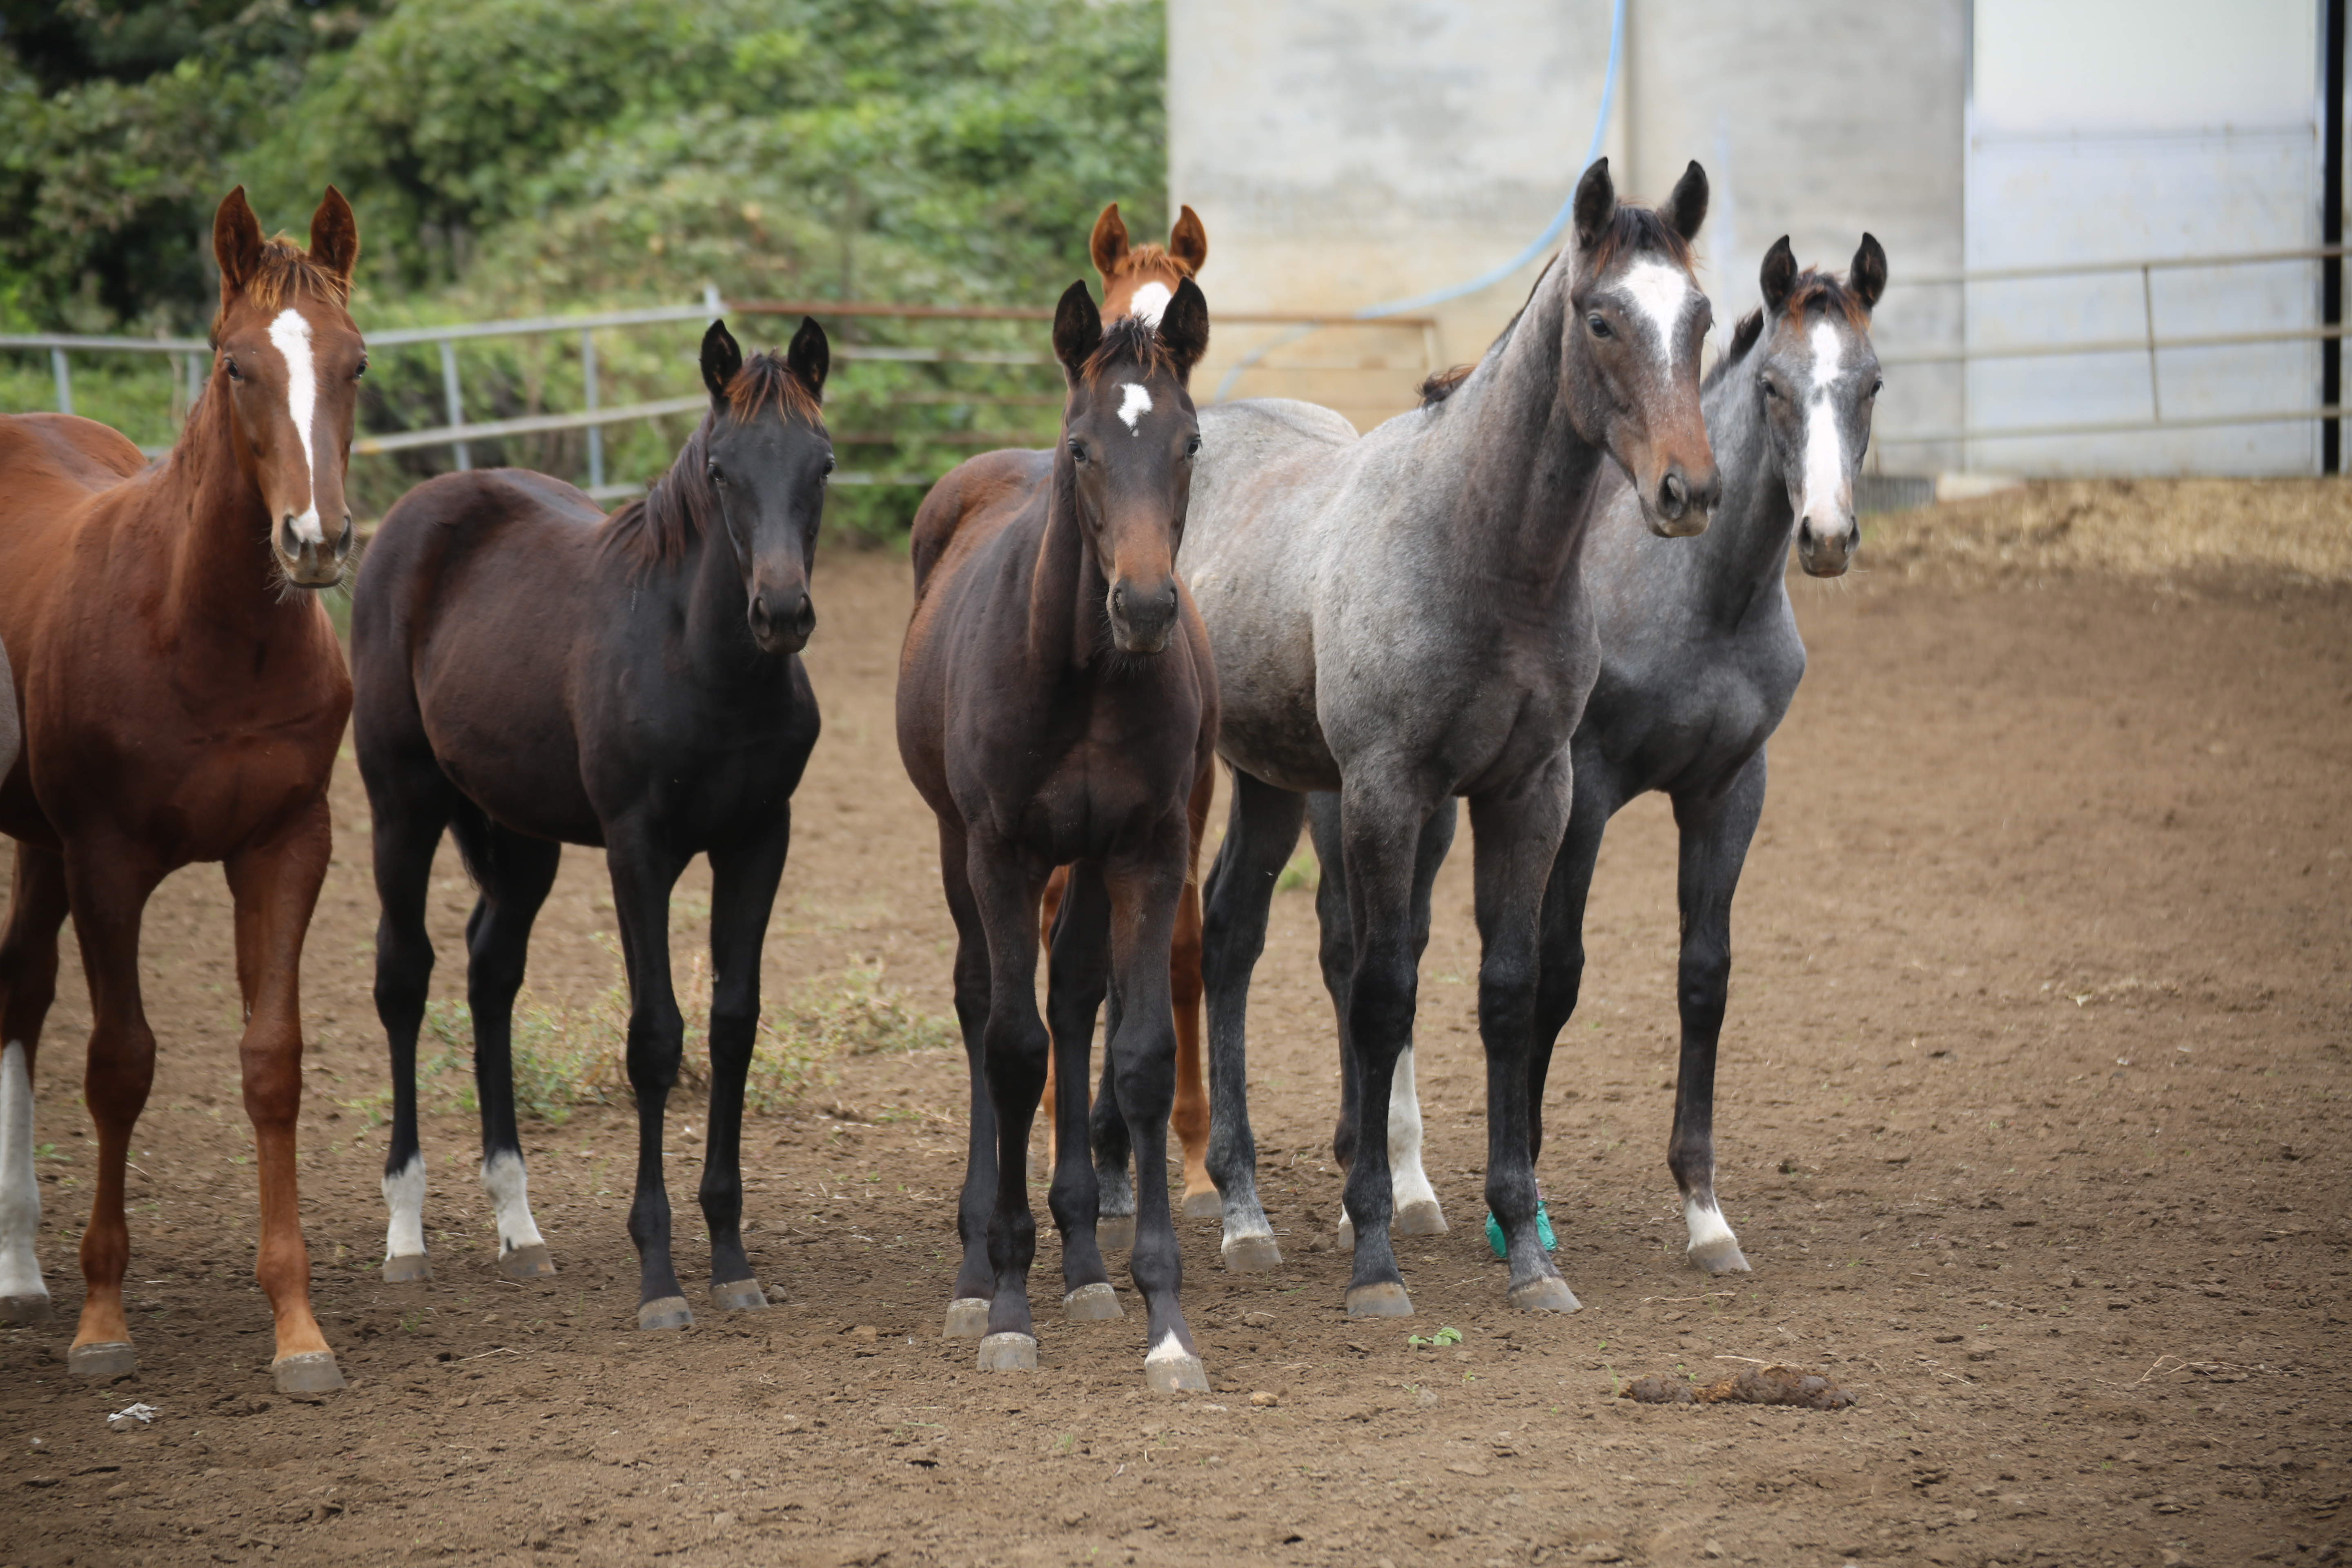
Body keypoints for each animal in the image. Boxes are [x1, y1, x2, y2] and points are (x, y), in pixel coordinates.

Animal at [0, 187, 357, 1401]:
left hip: (39, 847)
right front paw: (103, 1321)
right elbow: (121, 1066)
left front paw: (297, 1324)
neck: (203, 635)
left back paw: (20, 1267)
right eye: (235, 366)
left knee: (18, 994)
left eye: (353, 363)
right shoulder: (108, 861)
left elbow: (272, 1063)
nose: (315, 540)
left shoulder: (287, 847)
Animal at [343, 319, 833, 1326]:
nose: (781, 612)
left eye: (825, 464)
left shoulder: (758, 840)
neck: (702, 663)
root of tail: (414, 513)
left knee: (491, 973)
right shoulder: (637, 851)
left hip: (521, 834)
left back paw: (519, 1226)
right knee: (404, 977)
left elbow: (733, 1024)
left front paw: (731, 1258)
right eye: (720, 469)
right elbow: (656, 1038)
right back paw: (406, 1231)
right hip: (402, 804)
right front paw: (660, 1277)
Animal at [893, 282, 1214, 1401]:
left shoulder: (1148, 851)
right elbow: (1010, 1045)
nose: (1146, 605)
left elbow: (1140, 1053)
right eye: (1082, 449)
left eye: (1189, 442)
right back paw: (972, 1266)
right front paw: (1003, 1305)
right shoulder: (1000, 852)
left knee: (1074, 998)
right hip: (955, 844)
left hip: (1086, 862)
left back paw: (1083, 1262)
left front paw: (1165, 1321)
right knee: (981, 1006)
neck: (1080, 674)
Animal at [1185, 160, 1722, 1316]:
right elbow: (1384, 990)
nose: (1689, 490)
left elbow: (1508, 993)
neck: (1484, 553)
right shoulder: (1388, 791)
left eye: (1701, 317)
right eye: (1601, 317)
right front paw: (1376, 1260)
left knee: (1229, 932)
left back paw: (1246, 1206)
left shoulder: (1530, 792)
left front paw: (1526, 1247)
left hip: (1270, 778)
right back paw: (1217, 1208)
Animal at [1307, 242, 1891, 1278]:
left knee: (1402, 945)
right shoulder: (1583, 792)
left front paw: (1704, 1212)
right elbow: (1556, 971)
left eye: (1869, 384)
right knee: (1360, 953)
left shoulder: (1729, 791)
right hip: (1382, 802)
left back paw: (1405, 1184)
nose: (1825, 537)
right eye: (1774, 388)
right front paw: (1523, 1206)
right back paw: (1375, 1189)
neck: (1700, 599)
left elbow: (1704, 974)